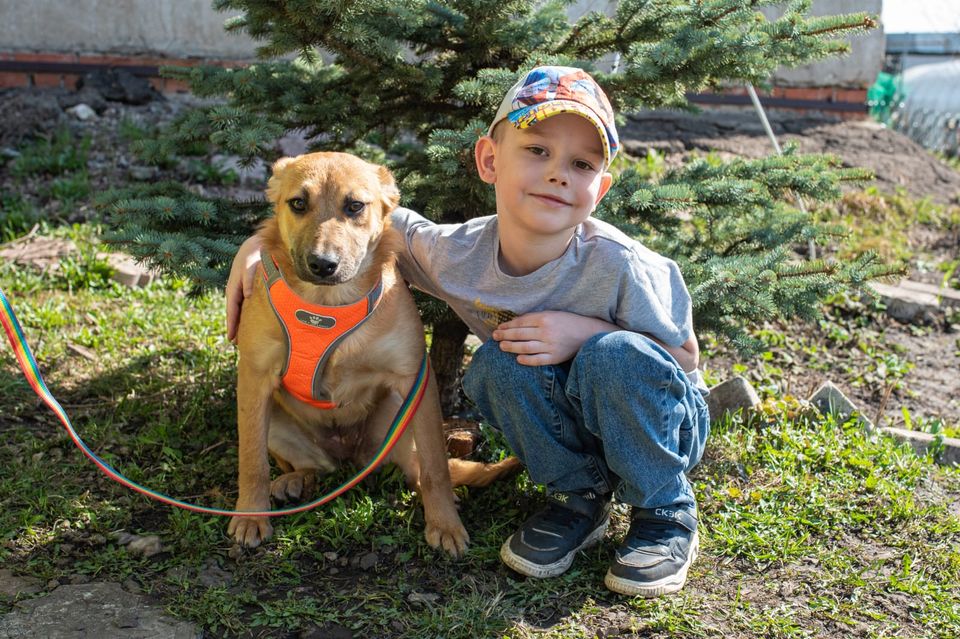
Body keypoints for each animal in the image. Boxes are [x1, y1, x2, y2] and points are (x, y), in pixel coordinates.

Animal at [229, 151, 516, 556]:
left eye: (355, 206)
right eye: (298, 203)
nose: (322, 264)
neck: (329, 305)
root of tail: (351, 454)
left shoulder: (414, 378)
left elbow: (436, 468)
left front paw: (444, 524)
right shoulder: (255, 378)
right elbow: (252, 461)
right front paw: (251, 515)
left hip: (401, 416)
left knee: (419, 470)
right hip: (276, 421)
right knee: (308, 467)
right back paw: (296, 480)